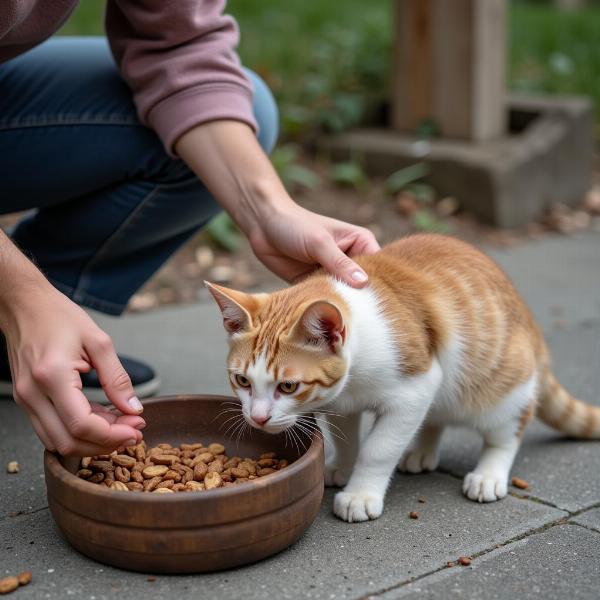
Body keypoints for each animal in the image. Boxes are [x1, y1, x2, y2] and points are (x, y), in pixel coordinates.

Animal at [205, 232, 596, 524]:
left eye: (288, 386)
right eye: (242, 381)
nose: (258, 418)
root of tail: (530, 322)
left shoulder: (416, 385)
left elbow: (378, 449)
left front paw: (361, 494)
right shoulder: (343, 401)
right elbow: (347, 438)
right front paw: (343, 465)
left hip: (501, 389)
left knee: (507, 429)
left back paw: (489, 473)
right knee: (435, 417)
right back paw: (421, 451)